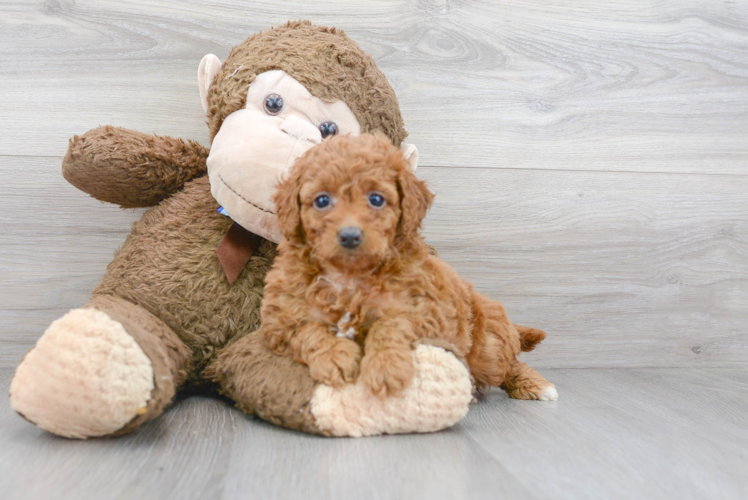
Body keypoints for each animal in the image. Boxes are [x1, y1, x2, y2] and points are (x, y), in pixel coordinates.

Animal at [260, 134, 560, 402]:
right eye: (322, 200)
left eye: (376, 199)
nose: (350, 236)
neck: (349, 276)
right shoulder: (281, 321)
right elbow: (310, 331)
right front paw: (335, 357)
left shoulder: (425, 309)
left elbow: (391, 323)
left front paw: (386, 367)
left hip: (488, 347)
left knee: (508, 366)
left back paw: (537, 385)